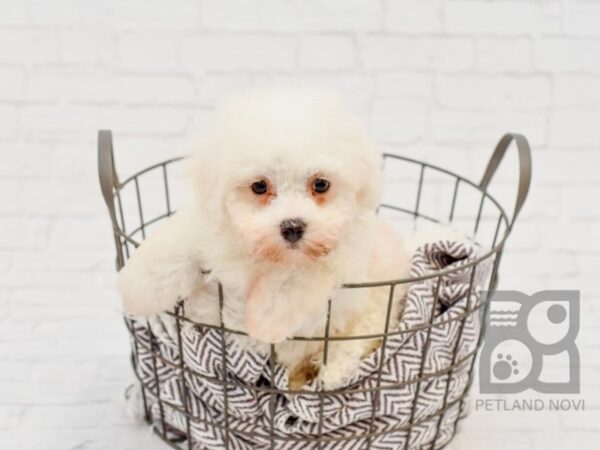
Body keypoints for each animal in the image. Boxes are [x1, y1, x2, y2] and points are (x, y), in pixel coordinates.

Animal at [118, 88, 412, 390]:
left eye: (320, 184)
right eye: (259, 186)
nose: (292, 227)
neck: (269, 256)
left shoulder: (340, 260)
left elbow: (299, 277)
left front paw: (266, 318)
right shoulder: (208, 226)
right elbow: (179, 240)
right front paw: (138, 286)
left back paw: (329, 371)